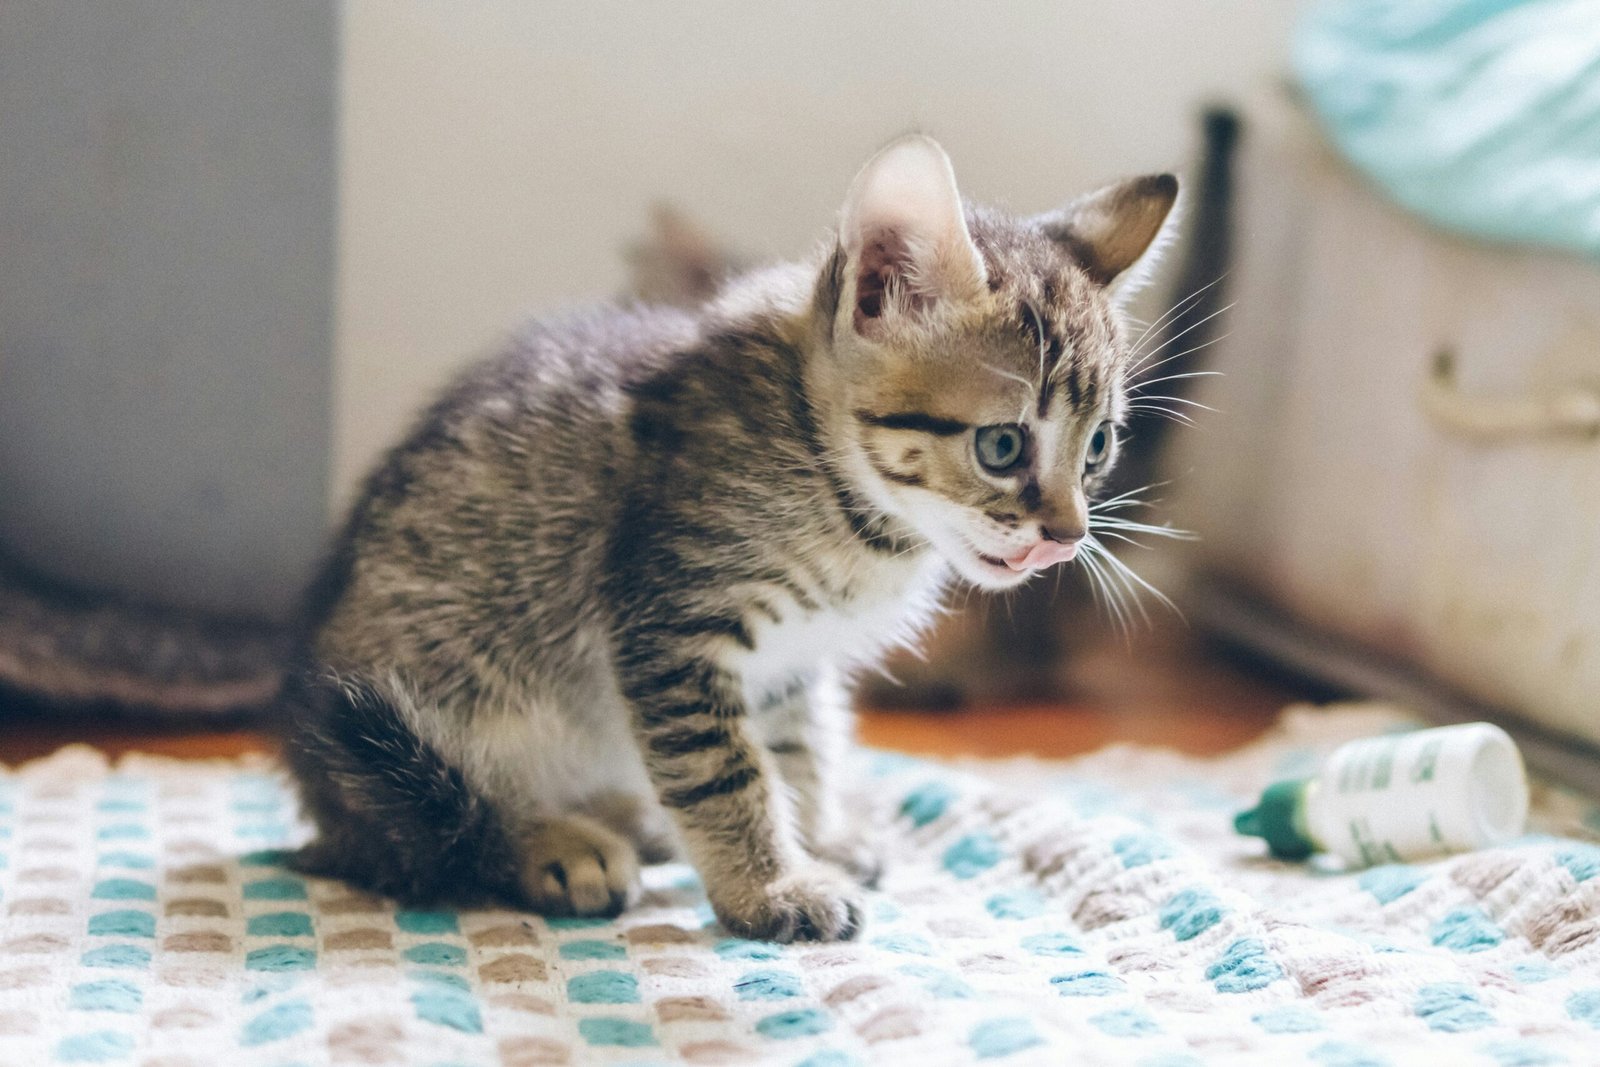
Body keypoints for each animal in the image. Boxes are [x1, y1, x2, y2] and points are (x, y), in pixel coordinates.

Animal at [284, 135, 1177, 940]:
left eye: (1098, 447)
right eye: (1002, 446)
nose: (1067, 537)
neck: (842, 493)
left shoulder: (787, 659)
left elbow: (795, 749)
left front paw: (812, 838)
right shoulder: (669, 625)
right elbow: (725, 770)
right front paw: (772, 887)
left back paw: (629, 816)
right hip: (429, 706)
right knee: (439, 825)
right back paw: (555, 840)